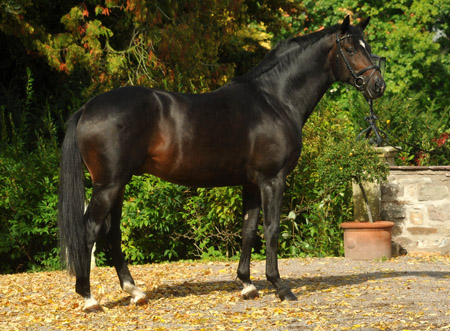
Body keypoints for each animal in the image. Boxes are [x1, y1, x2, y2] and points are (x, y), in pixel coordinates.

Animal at [58, 16, 384, 312]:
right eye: (351, 49)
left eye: (368, 47)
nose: (377, 86)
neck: (275, 100)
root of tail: (88, 107)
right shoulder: (273, 179)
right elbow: (272, 229)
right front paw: (280, 286)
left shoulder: (251, 184)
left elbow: (248, 229)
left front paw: (248, 284)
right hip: (109, 185)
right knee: (90, 230)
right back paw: (89, 299)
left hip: (118, 184)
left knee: (112, 233)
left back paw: (135, 292)